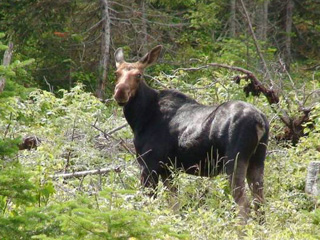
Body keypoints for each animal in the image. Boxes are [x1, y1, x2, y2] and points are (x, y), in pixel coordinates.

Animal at [114, 45, 268, 221]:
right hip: (258, 159)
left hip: (234, 160)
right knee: (260, 202)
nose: (120, 93)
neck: (139, 119)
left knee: (243, 203)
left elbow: (148, 204)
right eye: (116, 73)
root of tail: (259, 122)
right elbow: (173, 205)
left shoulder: (148, 164)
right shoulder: (168, 169)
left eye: (138, 75)